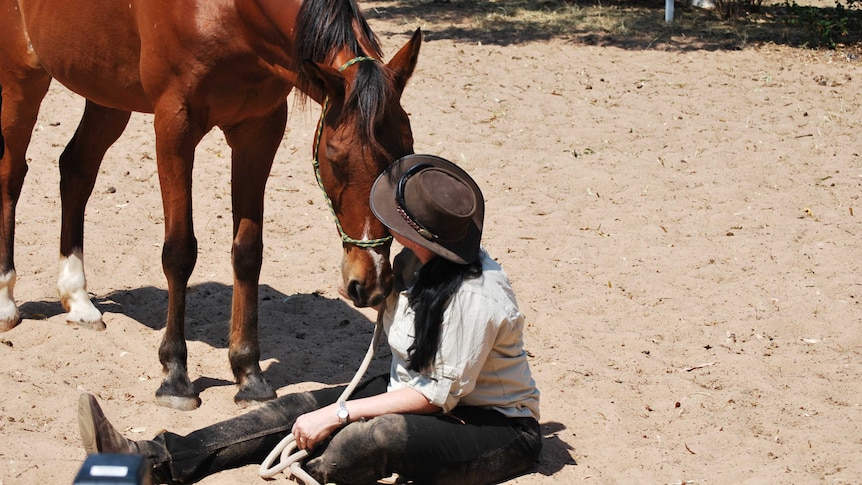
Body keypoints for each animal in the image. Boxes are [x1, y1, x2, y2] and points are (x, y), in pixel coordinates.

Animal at [0, 0, 420, 408]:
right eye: (335, 157)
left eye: (406, 150)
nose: (371, 282)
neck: (231, 13)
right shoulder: (175, 125)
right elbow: (179, 252)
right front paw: (175, 375)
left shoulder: (260, 129)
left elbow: (248, 252)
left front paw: (249, 373)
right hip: (20, 80)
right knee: (11, 175)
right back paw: (6, 302)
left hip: (106, 93)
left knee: (76, 169)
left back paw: (78, 299)